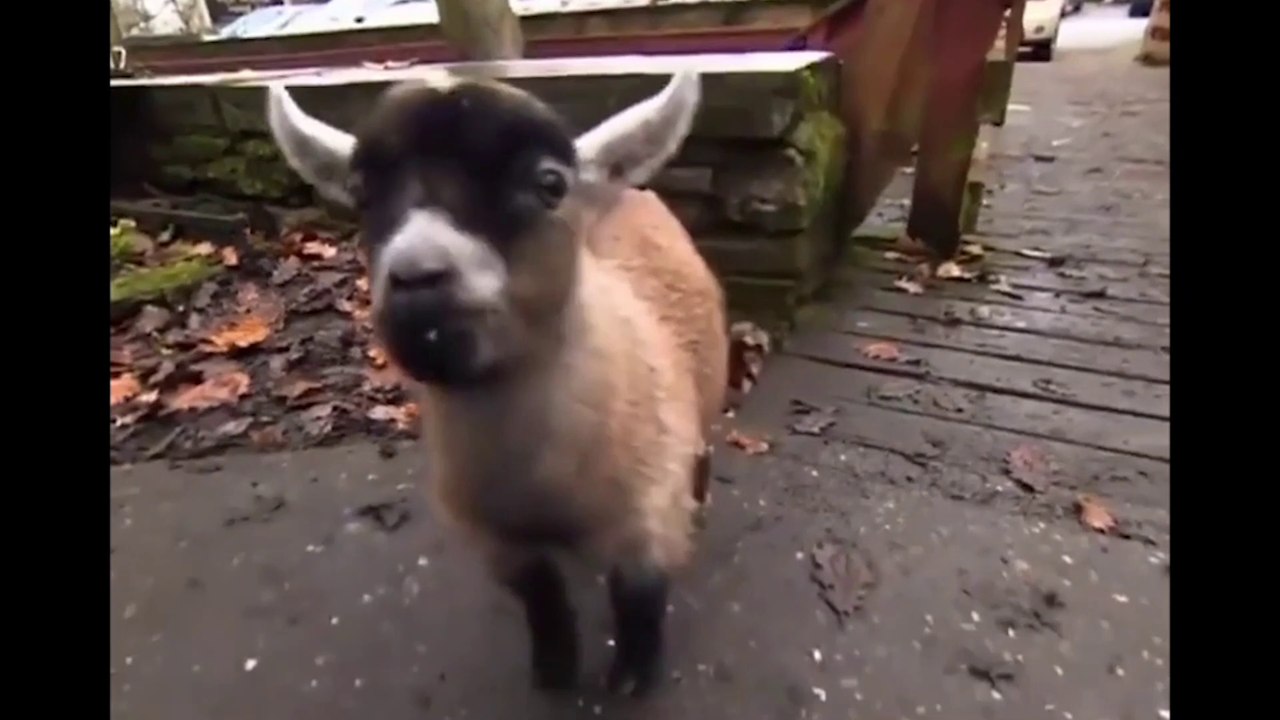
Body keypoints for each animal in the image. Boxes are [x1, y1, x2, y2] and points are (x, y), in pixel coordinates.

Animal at [266, 68, 729, 697]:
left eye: (549, 182)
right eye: (361, 194)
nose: (416, 280)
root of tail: (626, 190)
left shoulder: (646, 522)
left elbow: (640, 601)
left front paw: (632, 678)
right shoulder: (499, 541)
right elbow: (542, 600)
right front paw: (554, 669)